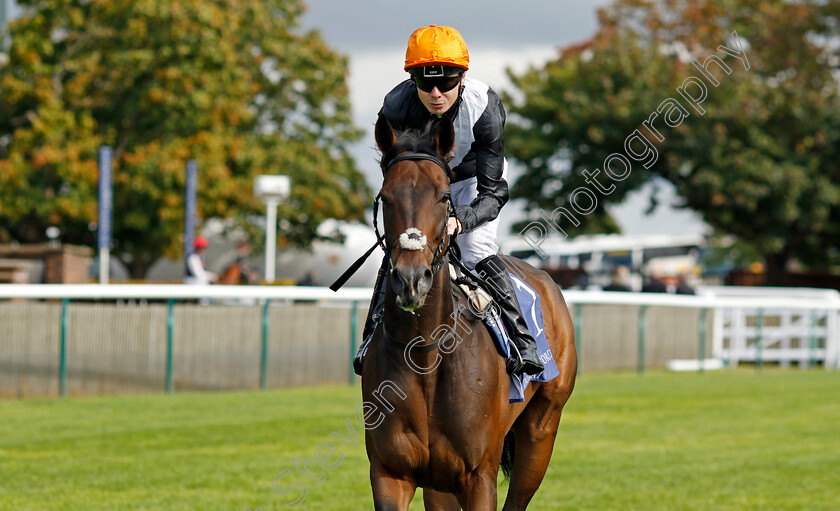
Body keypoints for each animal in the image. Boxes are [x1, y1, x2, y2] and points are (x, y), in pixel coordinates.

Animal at [360, 116, 576, 511]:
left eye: (444, 196)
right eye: (386, 196)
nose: (411, 280)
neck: (425, 353)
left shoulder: (479, 477)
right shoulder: (390, 473)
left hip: (543, 426)